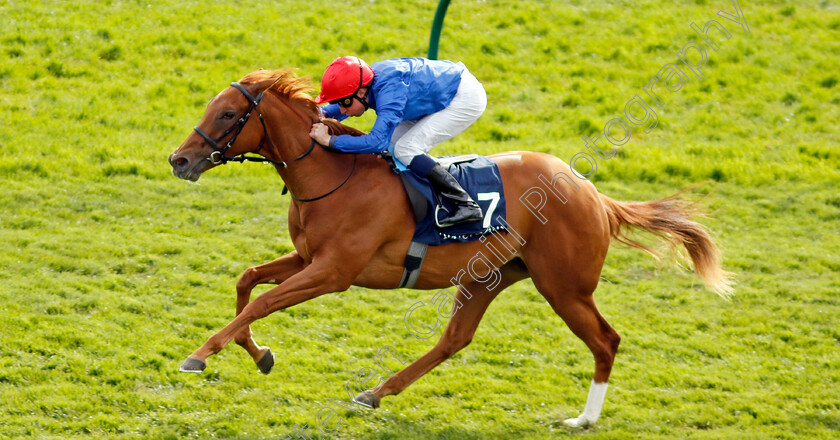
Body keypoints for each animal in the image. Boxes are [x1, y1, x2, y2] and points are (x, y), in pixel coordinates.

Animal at [167, 69, 732, 426]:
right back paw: (376, 392)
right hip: (489, 276)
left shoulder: (333, 272)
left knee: (606, 341)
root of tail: (592, 192)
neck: (332, 174)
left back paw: (583, 419)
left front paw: (200, 355)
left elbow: (261, 300)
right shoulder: (308, 259)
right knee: (455, 339)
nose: (179, 160)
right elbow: (248, 281)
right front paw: (259, 353)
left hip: (565, 287)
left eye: (228, 115)